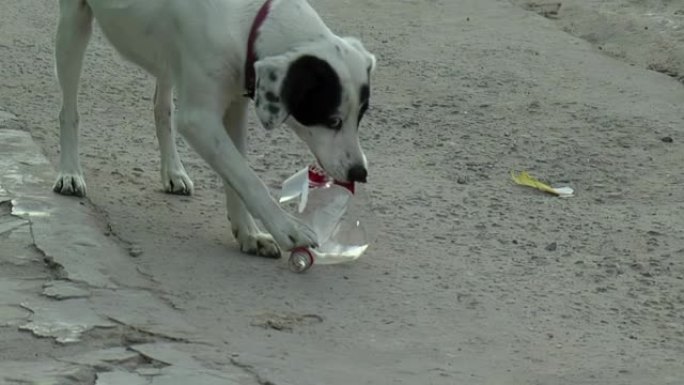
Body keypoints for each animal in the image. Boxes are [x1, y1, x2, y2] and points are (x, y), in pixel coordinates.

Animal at [52, 0, 374, 258]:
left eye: (360, 117)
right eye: (332, 120)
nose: (360, 173)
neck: (247, 22)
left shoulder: (235, 104)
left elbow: (236, 173)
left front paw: (248, 233)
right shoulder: (199, 120)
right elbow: (248, 178)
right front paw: (286, 228)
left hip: (168, 60)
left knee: (162, 108)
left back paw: (173, 171)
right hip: (73, 24)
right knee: (69, 111)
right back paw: (70, 172)